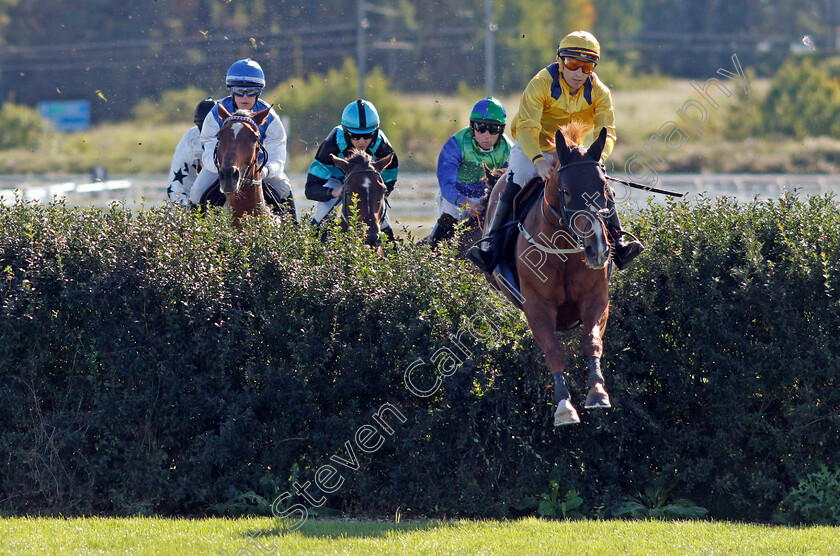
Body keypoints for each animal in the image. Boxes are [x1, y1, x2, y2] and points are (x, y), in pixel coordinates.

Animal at [482, 121, 612, 426]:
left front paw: (597, 392)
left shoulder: (596, 297)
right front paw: (564, 406)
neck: (563, 250)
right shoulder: (536, 305)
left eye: (603, 186)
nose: (598, 249)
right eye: (565, 190)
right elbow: (553, 350)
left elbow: (592, 340)